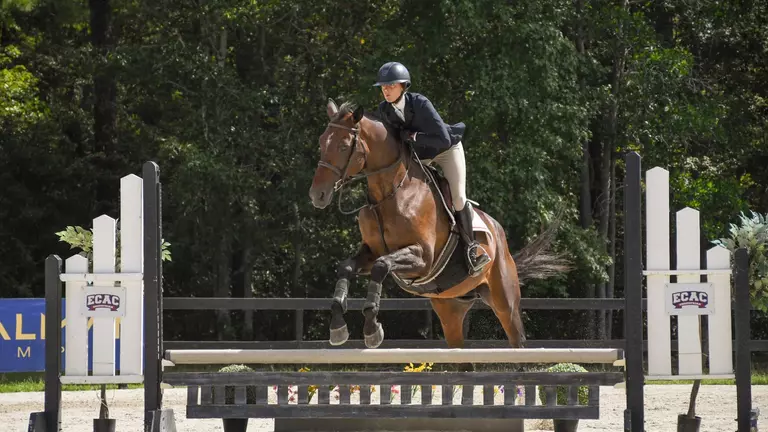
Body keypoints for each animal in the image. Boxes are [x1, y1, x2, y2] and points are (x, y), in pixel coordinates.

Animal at [309, 98, 571, 353]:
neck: (389, 194)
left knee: (517, 342)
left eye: (343, 146)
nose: (317, 195)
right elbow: (346, 267)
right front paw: (338, 328)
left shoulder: (423, 258)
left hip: (506, 304)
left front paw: (372, 330)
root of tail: (497, 230)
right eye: (321, 142)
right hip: (450, 308)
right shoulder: (371, 252)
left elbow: (381, 267)